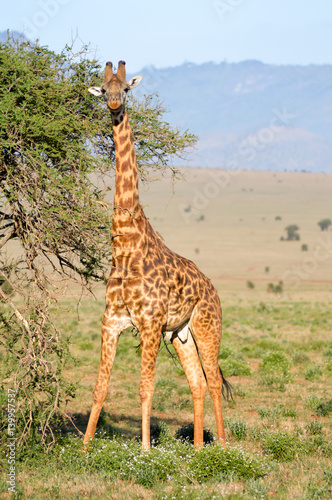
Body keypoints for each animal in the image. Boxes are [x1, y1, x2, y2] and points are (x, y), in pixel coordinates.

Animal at [83, 59, 231, 450]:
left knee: (213, 381)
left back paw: (224, 448)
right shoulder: (111, 322)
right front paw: (84, 448)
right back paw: (198, 448)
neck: (125, 245)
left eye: (126, 89)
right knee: (197, 382)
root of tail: (212, 288)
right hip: (180, 335)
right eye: (103, 90)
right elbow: (100, 388)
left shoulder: (149, 324)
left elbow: (145, 388)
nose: (114, 104)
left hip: (207, 327)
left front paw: (147, 450)